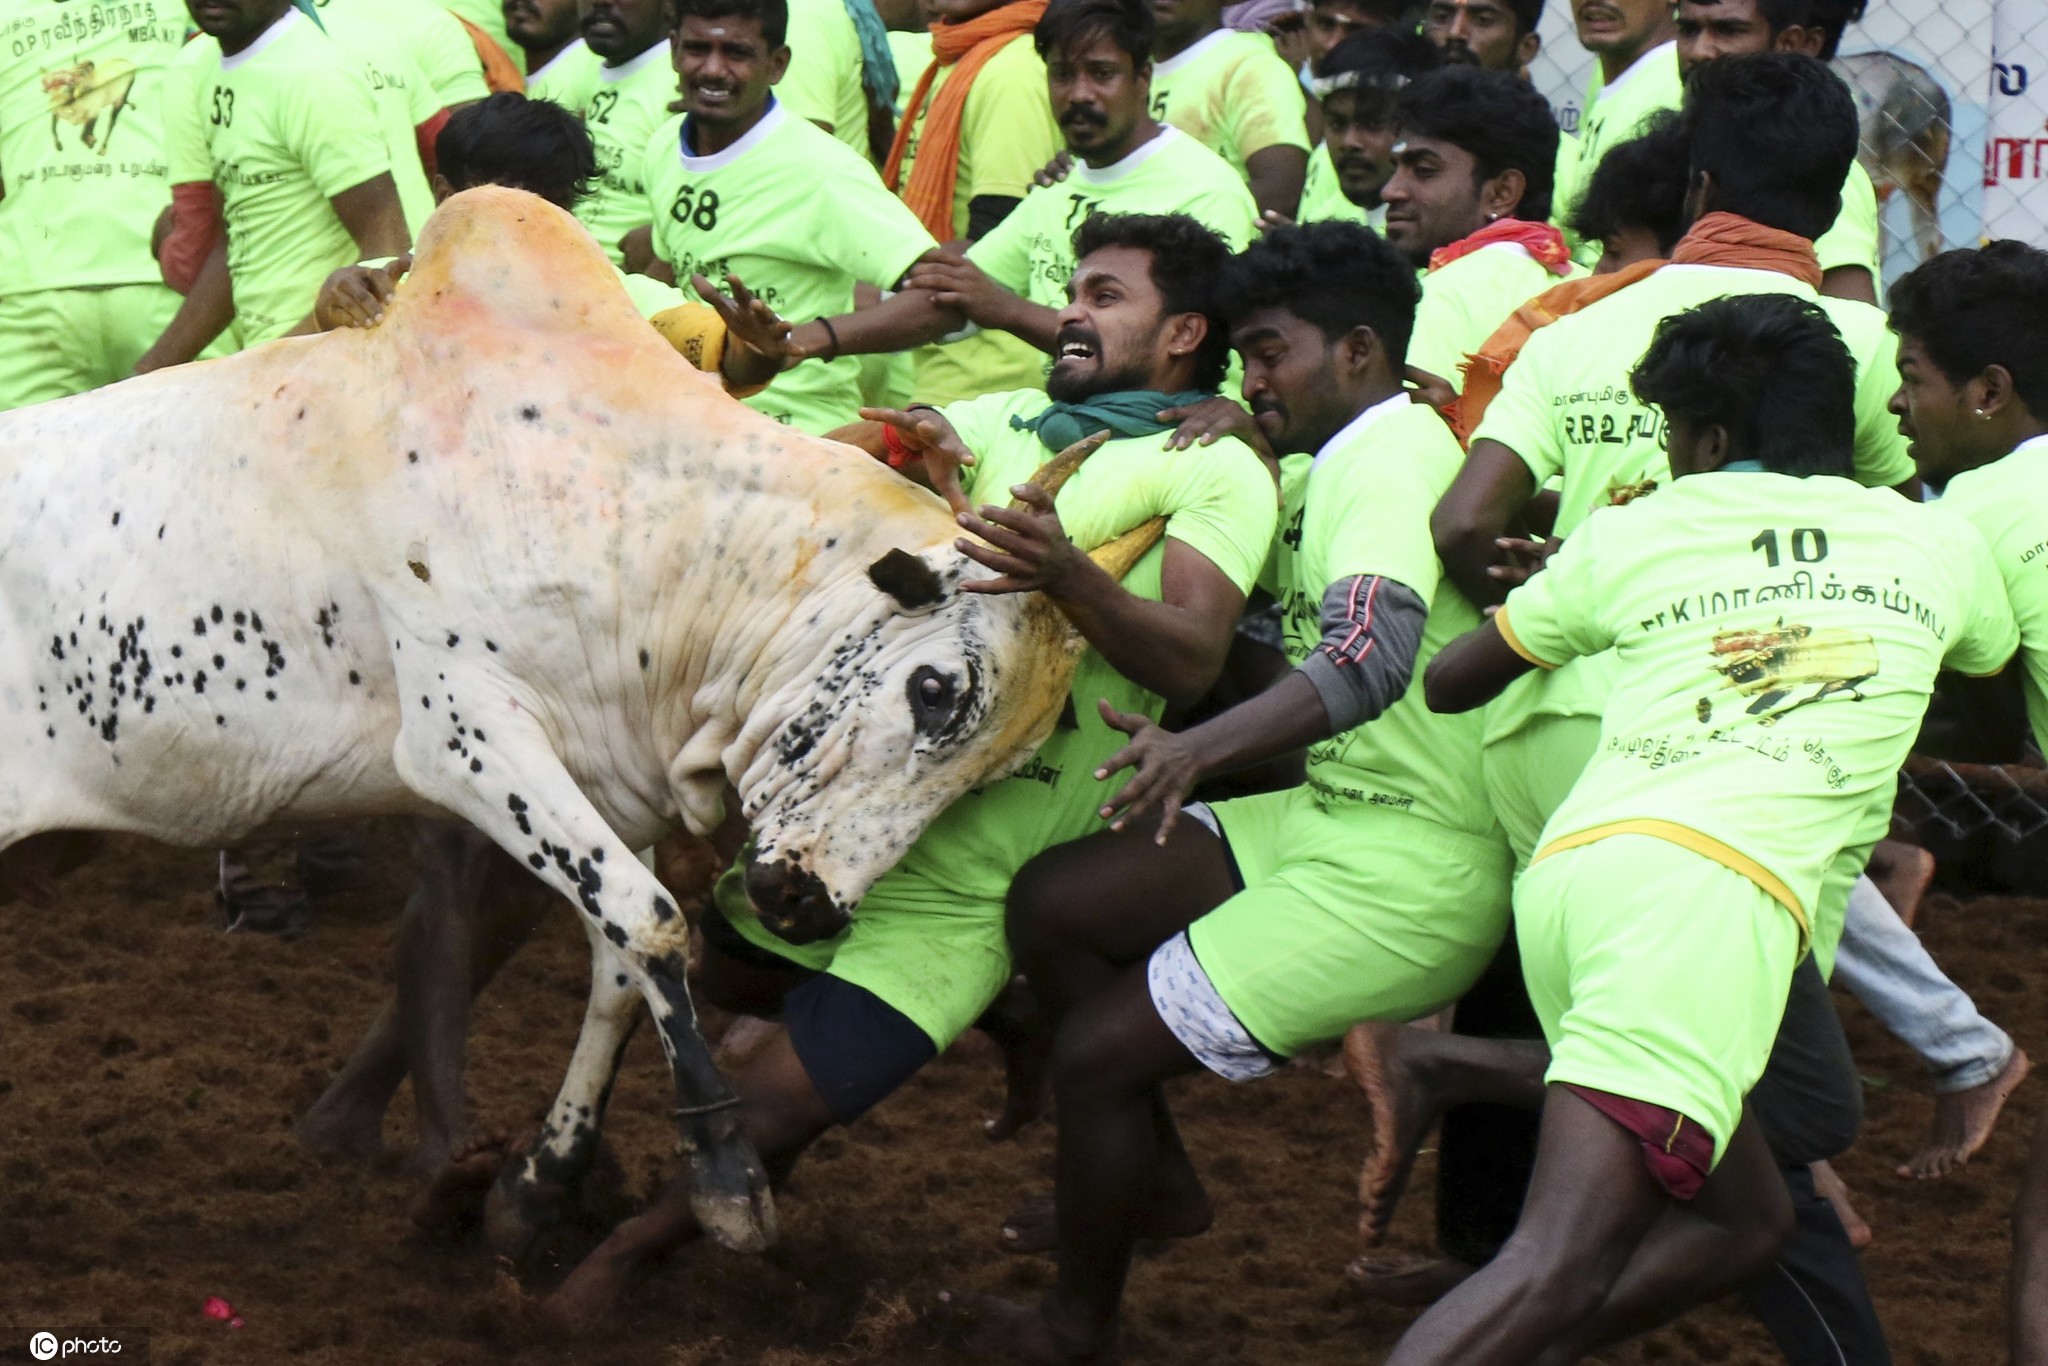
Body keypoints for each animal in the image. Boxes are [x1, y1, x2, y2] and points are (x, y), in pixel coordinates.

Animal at [0, 187, 1130, 1253]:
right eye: (936, 689)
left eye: (1004, 773)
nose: (806, 905)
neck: (634, 514)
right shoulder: (465, 737)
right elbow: (652, 920)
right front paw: (724, 1172)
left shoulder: (606, 786)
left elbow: (619, 964)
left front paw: (536, 1190)